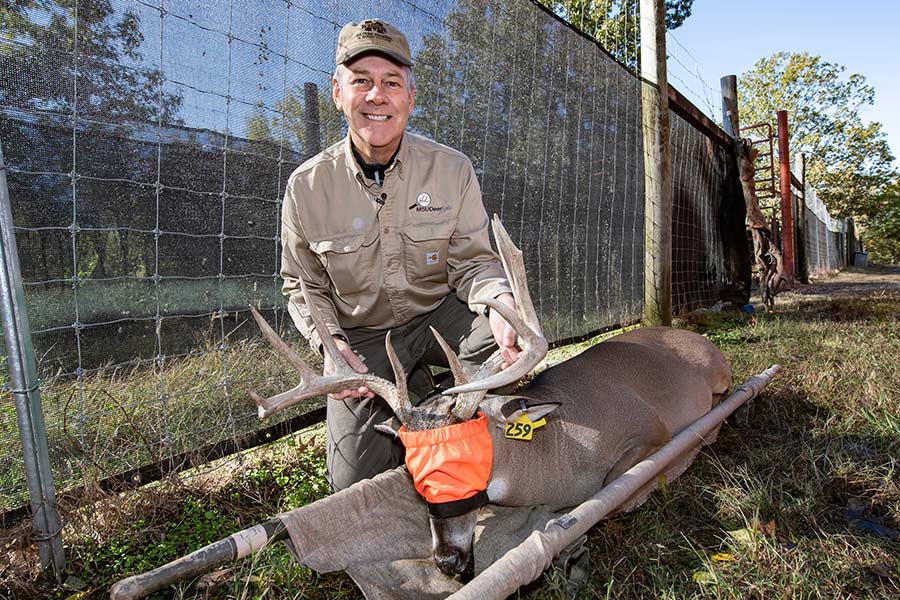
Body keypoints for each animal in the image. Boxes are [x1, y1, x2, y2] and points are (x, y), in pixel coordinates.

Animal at [246, 218, 732, 580]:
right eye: (414, 474)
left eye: (466, 462)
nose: (447, 561)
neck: (558, 449)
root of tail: (699, 338)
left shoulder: (649, 434)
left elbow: (625, 490)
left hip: (716, 377)